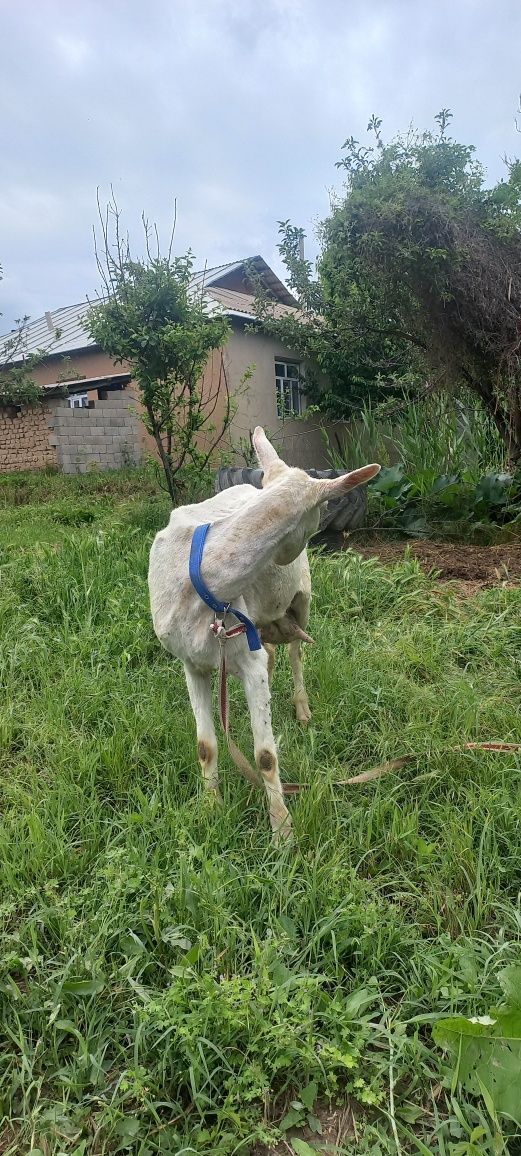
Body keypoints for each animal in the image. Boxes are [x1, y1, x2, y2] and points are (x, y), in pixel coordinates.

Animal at [146, 425, 378, 841]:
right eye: (320, 515)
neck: (204, 578)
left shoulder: (246, 655)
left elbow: (266, 756)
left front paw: (282, 831)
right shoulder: (193, 664)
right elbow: (205, 746)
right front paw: (210, 808)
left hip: (301, 599)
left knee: (296, 652)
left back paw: (301, 707)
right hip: (259, 621)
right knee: (271, 652)